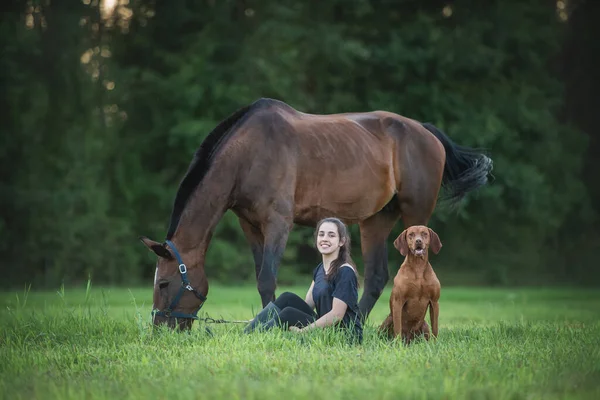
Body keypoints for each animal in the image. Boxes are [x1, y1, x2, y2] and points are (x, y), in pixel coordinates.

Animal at [141, 97, 492, 328]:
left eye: (163, 284)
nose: (161, 330)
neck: (250, 152)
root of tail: (426, 131)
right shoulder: (250, 225)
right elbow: (261, 276)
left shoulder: (278, 223)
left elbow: (267, 278)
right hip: (375, 220)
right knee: (376, 277)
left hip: (415, 216)